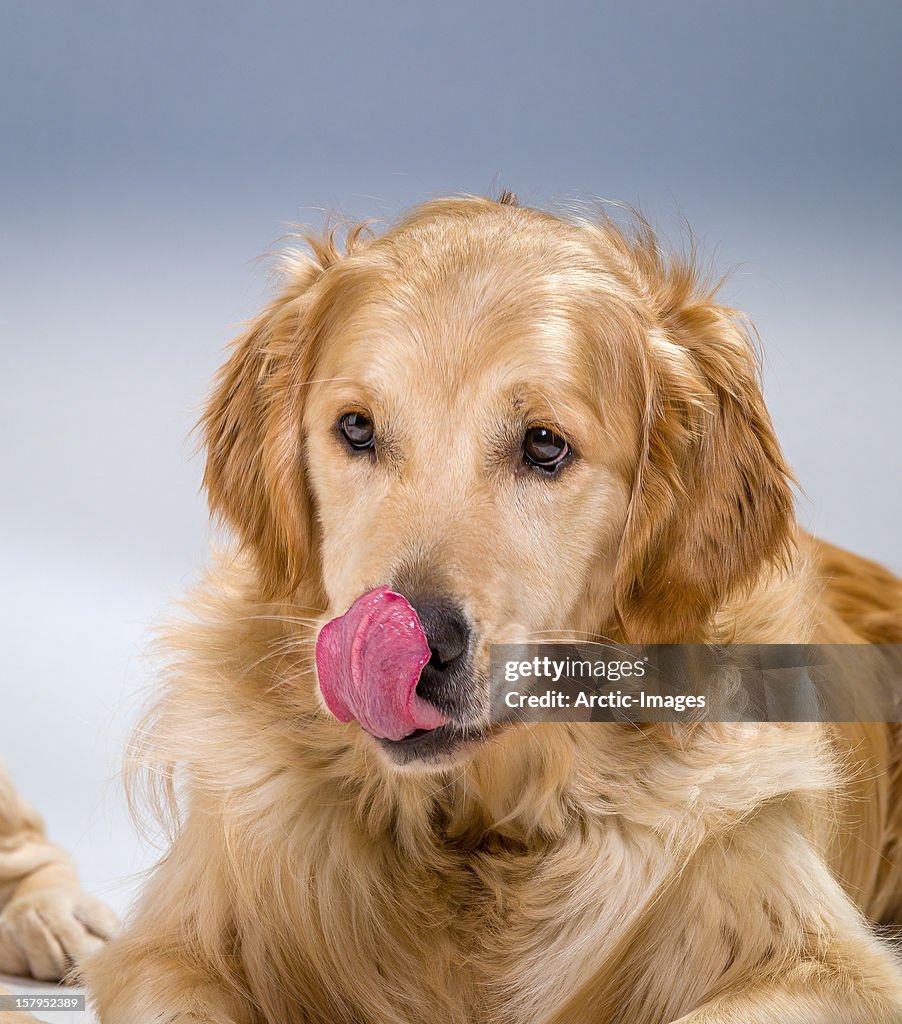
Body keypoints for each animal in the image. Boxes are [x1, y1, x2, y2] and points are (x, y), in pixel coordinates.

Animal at [84, 193, 900, 1024]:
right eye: (356, 428)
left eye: (544, 445)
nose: (416, 646)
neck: (481, 833)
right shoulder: (166, 949)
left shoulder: (829, 963)